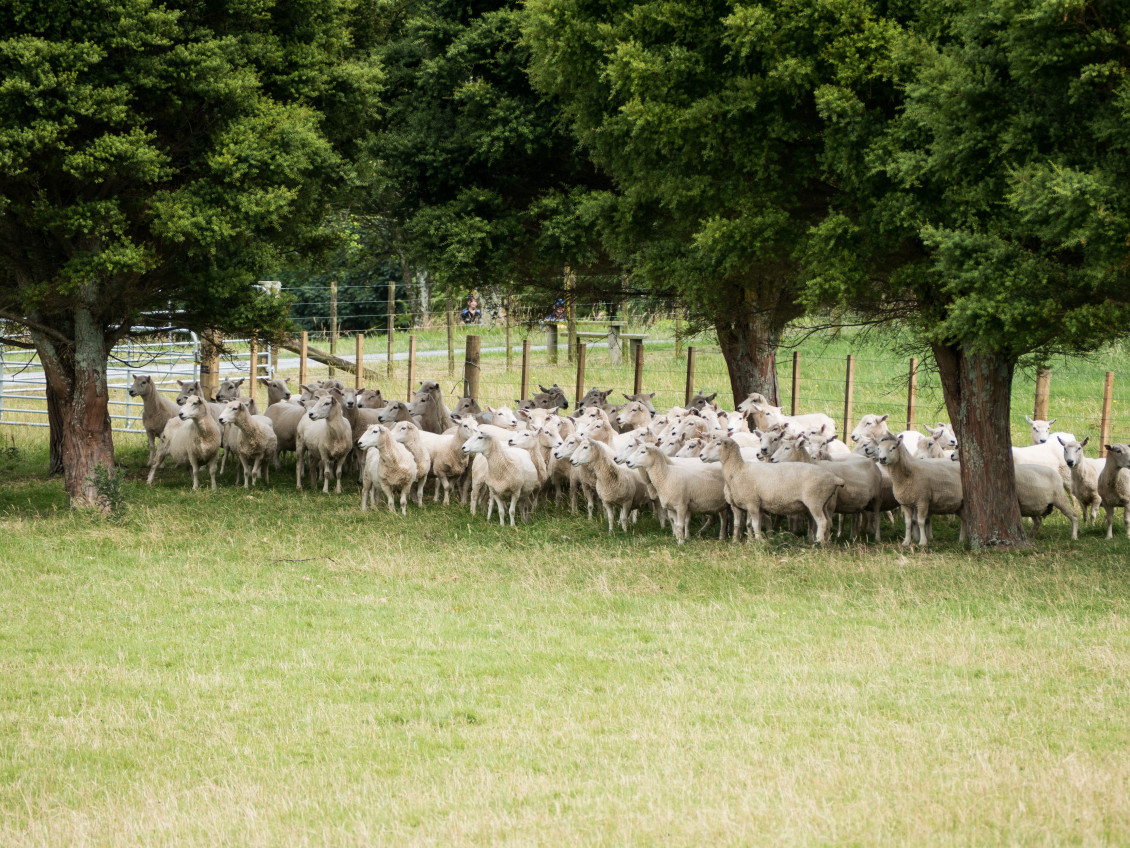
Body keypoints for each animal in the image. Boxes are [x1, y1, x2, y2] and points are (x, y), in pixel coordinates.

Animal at [696, 438, 849, 544]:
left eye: (718, 444)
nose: (701, 455)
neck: (738, 470)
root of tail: (834, 478)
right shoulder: (738, 506)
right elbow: (739, 524)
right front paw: (736, 542)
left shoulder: (753, 504)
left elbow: (755, 524)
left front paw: (759, 541)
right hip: (824, 503)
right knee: (828, 522)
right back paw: (825, 541)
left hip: (815, 501)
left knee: (822, 522)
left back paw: (818, 543)